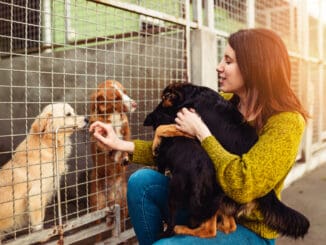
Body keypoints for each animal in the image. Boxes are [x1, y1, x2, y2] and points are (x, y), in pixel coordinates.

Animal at [0, 102, 88, 236]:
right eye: (68, 114)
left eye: (74, 112)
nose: (87, 119)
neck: (49, 144)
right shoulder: (36, 194)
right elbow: (38, 224)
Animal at [88, 81, 137, 234]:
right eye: (116, 98)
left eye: (125, 92)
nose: (135, 104)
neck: (114, 115)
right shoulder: (97, 131)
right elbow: (100, 141)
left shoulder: (126, 128)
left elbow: (126, 139)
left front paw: (124, 157)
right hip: (97, 207)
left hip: (124, 206)